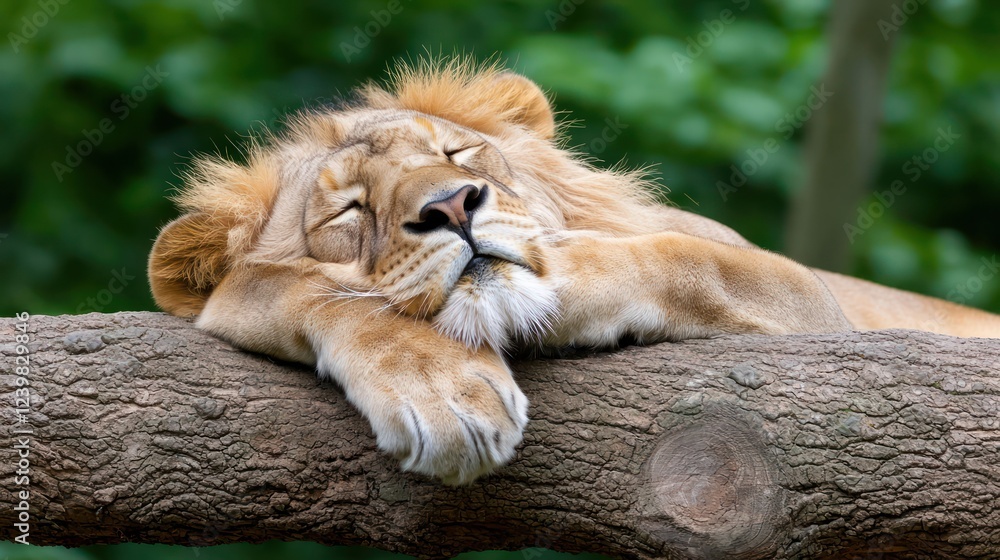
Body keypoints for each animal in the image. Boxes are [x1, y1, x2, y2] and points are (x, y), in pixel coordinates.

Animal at [148, 58, 1000, 485]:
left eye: (456, 153)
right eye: (348, 212)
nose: (452, 206)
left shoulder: (816, 307)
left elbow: (683, 256)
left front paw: (554, 267)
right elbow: (316, 292)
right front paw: (442, 392)